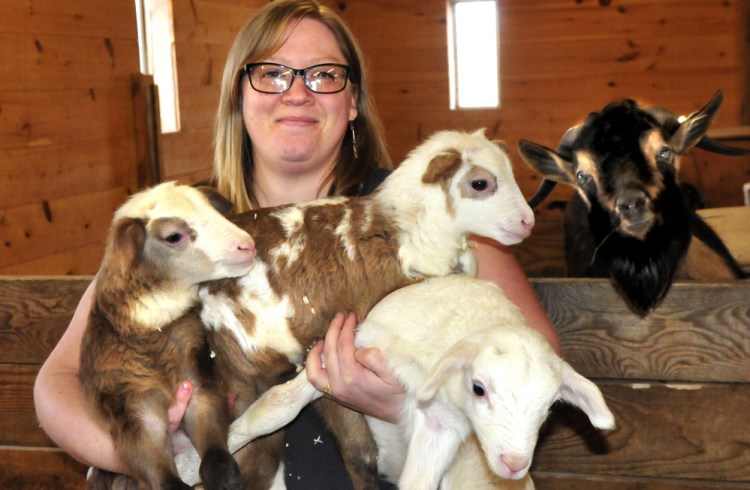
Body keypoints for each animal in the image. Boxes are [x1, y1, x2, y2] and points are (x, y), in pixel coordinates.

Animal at [178, 274, 616, 488]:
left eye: (550, 408)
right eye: (479, 388)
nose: (514, 464)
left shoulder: (442, 425)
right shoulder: (357, 342)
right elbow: (274, 408)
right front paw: (194, 462)